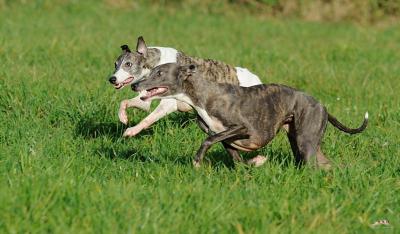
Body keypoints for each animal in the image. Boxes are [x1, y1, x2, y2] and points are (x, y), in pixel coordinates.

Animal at [134, 62, 368, 168]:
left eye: (160, 73)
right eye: (152, 71)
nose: (135, 85)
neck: (201, 95)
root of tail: (323, 106)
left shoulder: (242, 127)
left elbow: (207, 141)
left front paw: (198, 161)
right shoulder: (225, 138)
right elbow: (238, 161)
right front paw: (256, 161)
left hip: (305, 140)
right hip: (300, 141)